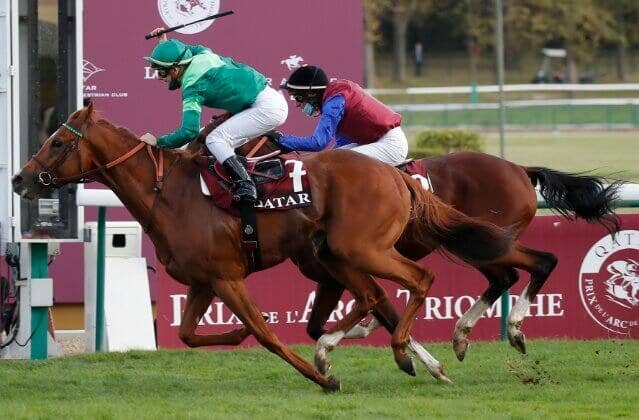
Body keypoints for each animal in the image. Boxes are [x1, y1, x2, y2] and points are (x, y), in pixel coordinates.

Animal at [11, 105, 520, 390]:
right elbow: (189, 334)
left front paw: (324, 379)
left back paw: (405, 351)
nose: (19, 179)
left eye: (58, 141)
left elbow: (268, 334)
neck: (170, 194)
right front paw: (238, 335)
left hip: (362, 250)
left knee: (419, 280)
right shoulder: (203, 282)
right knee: (375, 296)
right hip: (339, 255)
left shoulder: (226, 277)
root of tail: (396, 175)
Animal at [225, 132, 620, 374]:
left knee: (540, 262)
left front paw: (418, 360)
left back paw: (513, 330)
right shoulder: (333, 273)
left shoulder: (340, 268)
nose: (239, 186)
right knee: (504, 277)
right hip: (476, 245)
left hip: (486, 241)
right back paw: (462, 335)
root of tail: (520, 169)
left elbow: (377, 311)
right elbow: (324, 322)